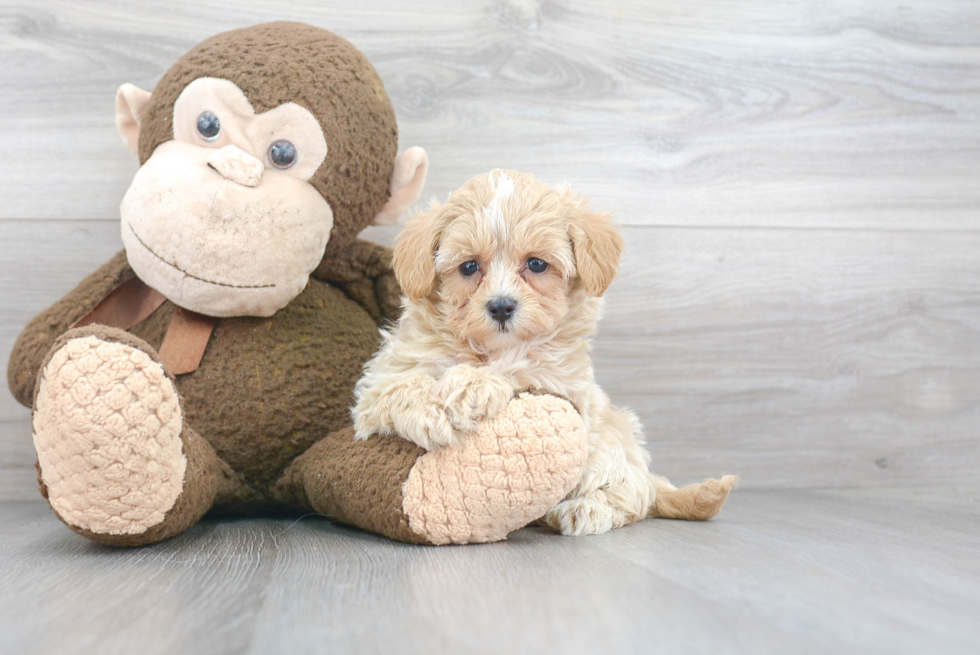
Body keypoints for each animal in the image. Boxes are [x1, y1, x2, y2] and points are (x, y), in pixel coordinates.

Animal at [352, 172, 736, 536]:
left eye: (536, 264)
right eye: (468, 267)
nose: (501, 306)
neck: (489, 349)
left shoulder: (565, 388)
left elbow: (521, 369)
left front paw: (472, 384)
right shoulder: (378, 386)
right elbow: (399, 387)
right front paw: (433, 411)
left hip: (610, 446)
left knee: (632, 498)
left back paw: (585, 509)